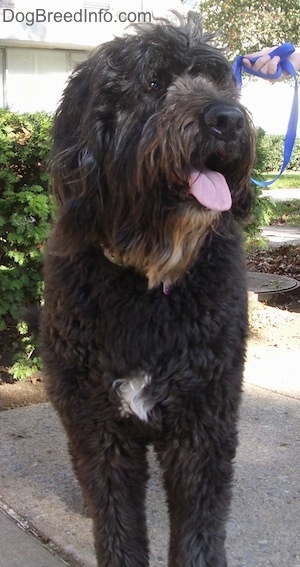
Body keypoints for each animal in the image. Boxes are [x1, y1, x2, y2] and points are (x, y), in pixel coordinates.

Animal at [39, 12, 255, 567]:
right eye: (154, 84)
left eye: (218, 80)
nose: (229, 120)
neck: (148, 281)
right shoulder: (99, 424)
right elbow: (115, 517)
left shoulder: (205, 418)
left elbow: (200, 522)